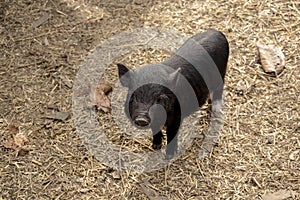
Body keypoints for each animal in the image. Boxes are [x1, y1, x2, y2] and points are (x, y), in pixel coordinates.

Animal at [117, 29, 230, 159]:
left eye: (159, 99)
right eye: (133, 95)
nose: (141, 119)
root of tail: (218, 32)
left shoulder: (177, 117)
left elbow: (172, 133)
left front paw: (169, 156)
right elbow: (156, 130)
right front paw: (155, 147)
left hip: (221, 74)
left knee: (219, 89)